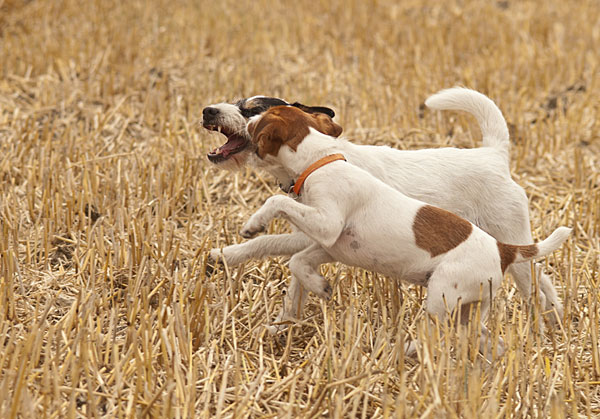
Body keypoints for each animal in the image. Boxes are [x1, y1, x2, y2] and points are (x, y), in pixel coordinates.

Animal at [207, 88, 568, 328]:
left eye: (252, 110)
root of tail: (493, 155)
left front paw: (230, 251)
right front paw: (285, 323)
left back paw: (544, 327)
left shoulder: (318, 231)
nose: (208, 111)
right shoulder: (318, 239)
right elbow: (296, 275)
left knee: (537, 285)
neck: (319, 155)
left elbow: (265, 242)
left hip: (509, 235)